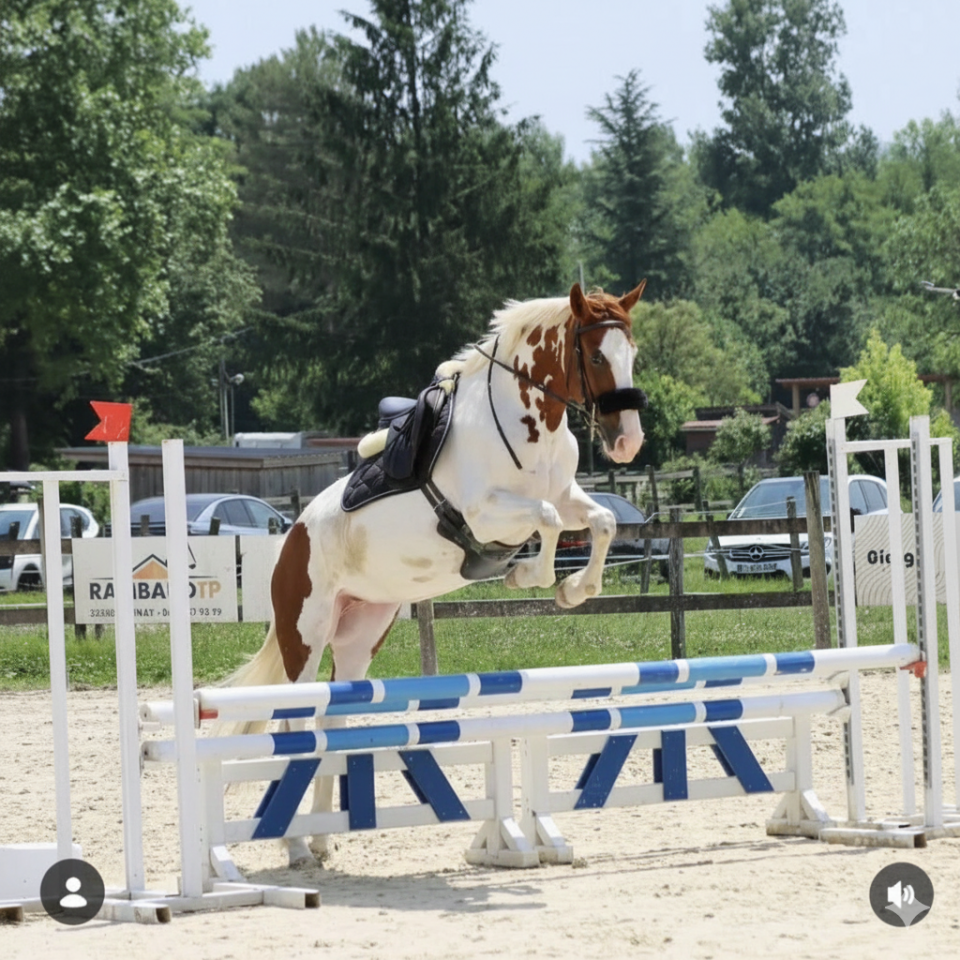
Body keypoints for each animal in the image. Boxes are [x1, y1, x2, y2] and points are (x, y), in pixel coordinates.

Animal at [224, 281, 647, 866]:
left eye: (633, 355)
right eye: (597, 357)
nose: (628, 442)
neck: (527, 422)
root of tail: (292, 534)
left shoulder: (566, 494)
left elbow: (600, 521)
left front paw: (574, 590)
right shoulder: (488, 513)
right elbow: (547, 520)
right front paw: (528, 578)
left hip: (360, 638)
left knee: (332, 721)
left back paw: (323, 838)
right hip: (304, 637)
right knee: (296, 722)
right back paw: (296, 847)